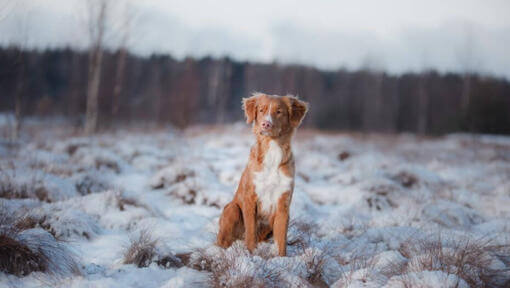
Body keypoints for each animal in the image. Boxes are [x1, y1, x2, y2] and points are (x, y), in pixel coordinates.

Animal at [215, 92, 306, 256]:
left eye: (279, 111)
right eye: (262, 110)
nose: (266, 124)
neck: (272, 151)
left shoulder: (283, 204)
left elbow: (281, 239)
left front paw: (282, 259)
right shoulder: (250, 199)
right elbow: (251, 232)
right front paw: (250, 255)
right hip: (232, 209)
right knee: (223, 240)